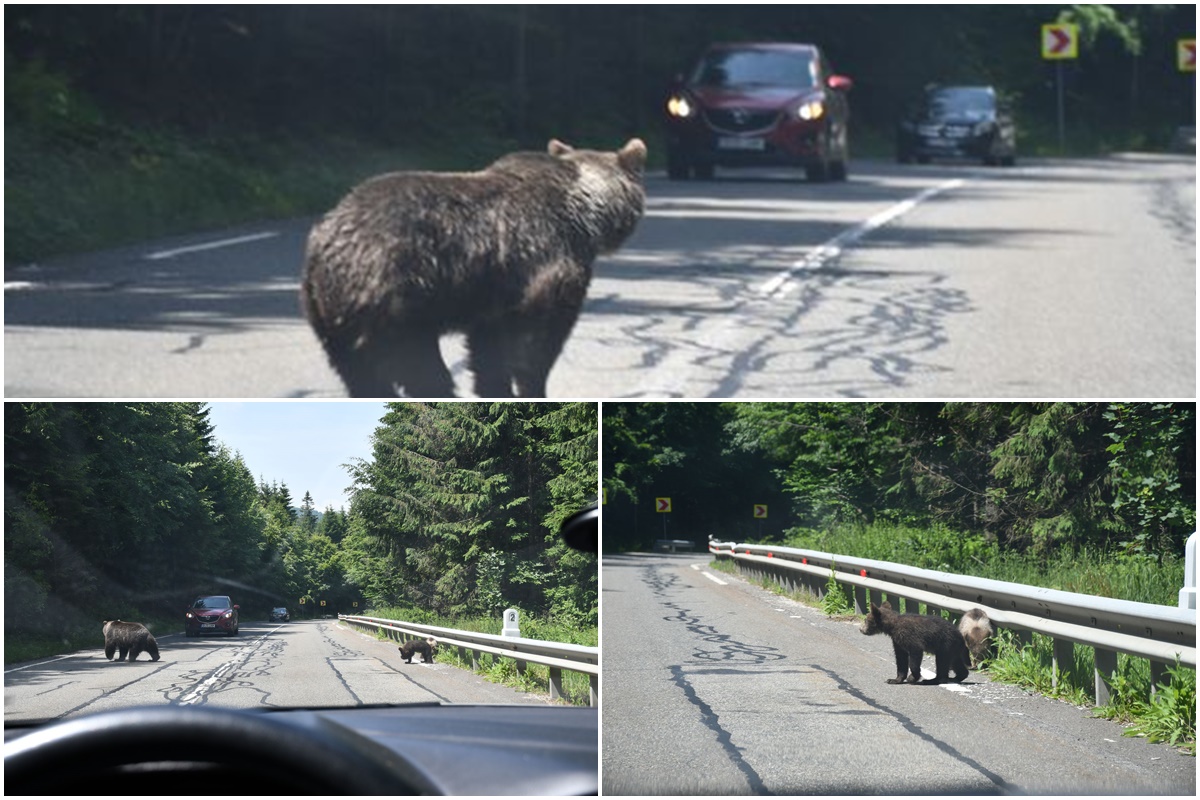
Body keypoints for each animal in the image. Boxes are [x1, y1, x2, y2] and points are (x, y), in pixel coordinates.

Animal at [300, 140, 648, 400]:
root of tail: (325, 241)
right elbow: (538, 337)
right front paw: (532, 387)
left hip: (327, 314)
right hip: (396, 298)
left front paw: (496, 390)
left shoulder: (494, 291)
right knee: (419, 367)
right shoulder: (548, 261)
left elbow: (487, 347)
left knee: (356, 371)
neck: (584, 213)